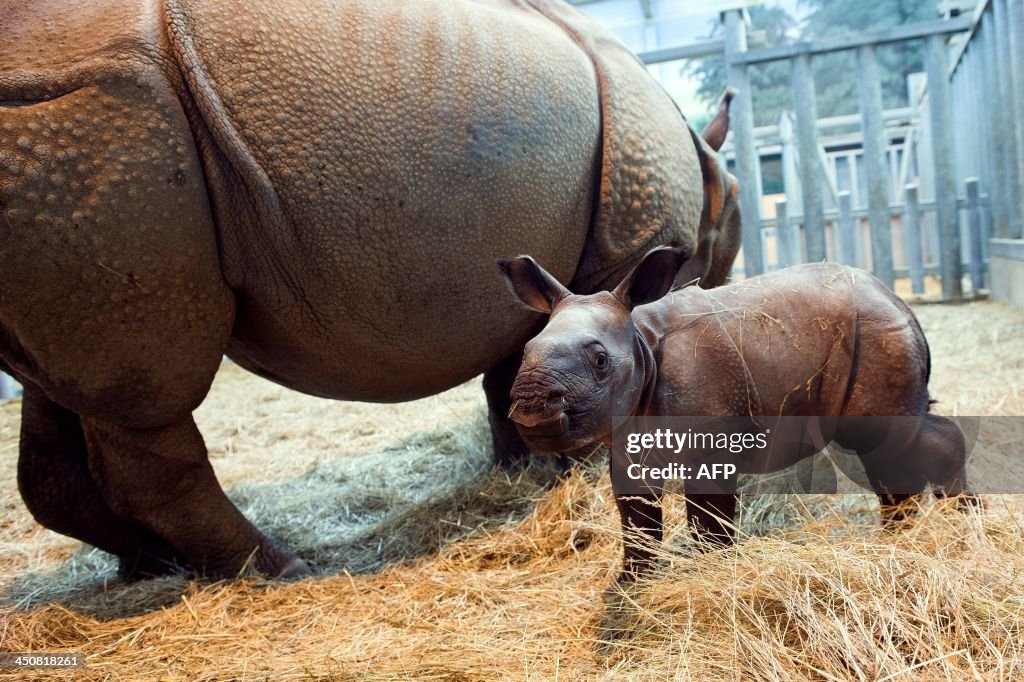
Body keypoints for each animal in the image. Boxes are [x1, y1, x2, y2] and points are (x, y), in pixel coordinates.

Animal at [499, 245, 978, 577]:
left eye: (600, 361)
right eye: (524, 353)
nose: (532, 412)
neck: (639, 339)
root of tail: (897, 300)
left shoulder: (711, 444)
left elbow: (709, 518)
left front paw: (712, 568)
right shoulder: (626, 442)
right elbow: (636, 520)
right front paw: (633, 581)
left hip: (877, 334)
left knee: (890, 437)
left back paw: (963, 528)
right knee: (883, 451)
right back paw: (897, 536)